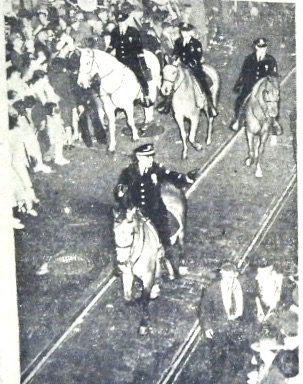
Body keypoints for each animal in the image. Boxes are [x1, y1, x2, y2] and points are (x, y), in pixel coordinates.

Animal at [113, 182, 186, 334]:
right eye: (114, 233)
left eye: (132, 233)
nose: (120, 263)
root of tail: (168, 185)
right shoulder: (127, 274)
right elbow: (128, 297)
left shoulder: (147, 277)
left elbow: (145, 299)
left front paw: (143, 324)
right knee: (165, 257)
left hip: (181, 231)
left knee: (181, 247)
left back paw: (181, 268)